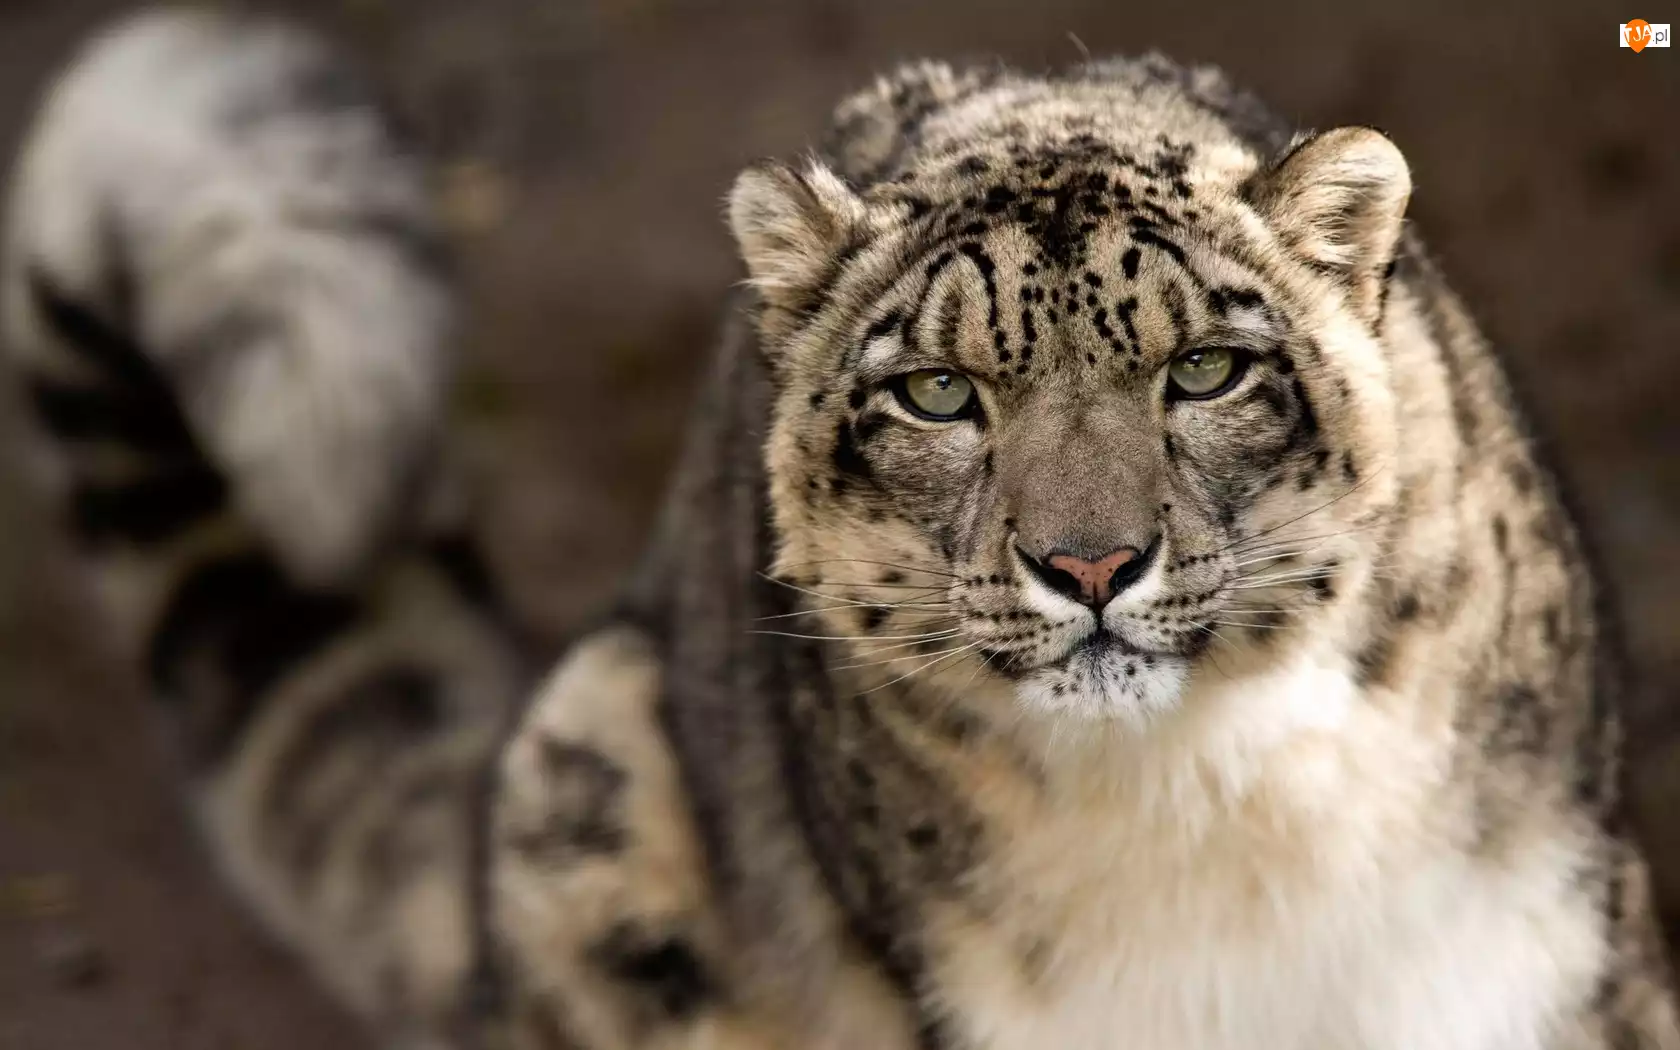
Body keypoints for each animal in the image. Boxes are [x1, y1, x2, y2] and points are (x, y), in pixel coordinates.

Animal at [6, 8, 1676, 1050]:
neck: (1223, 810)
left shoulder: (1553, 952)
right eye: (938, 391)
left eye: (1205, 368)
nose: (1087, 564)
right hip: (587, 781)